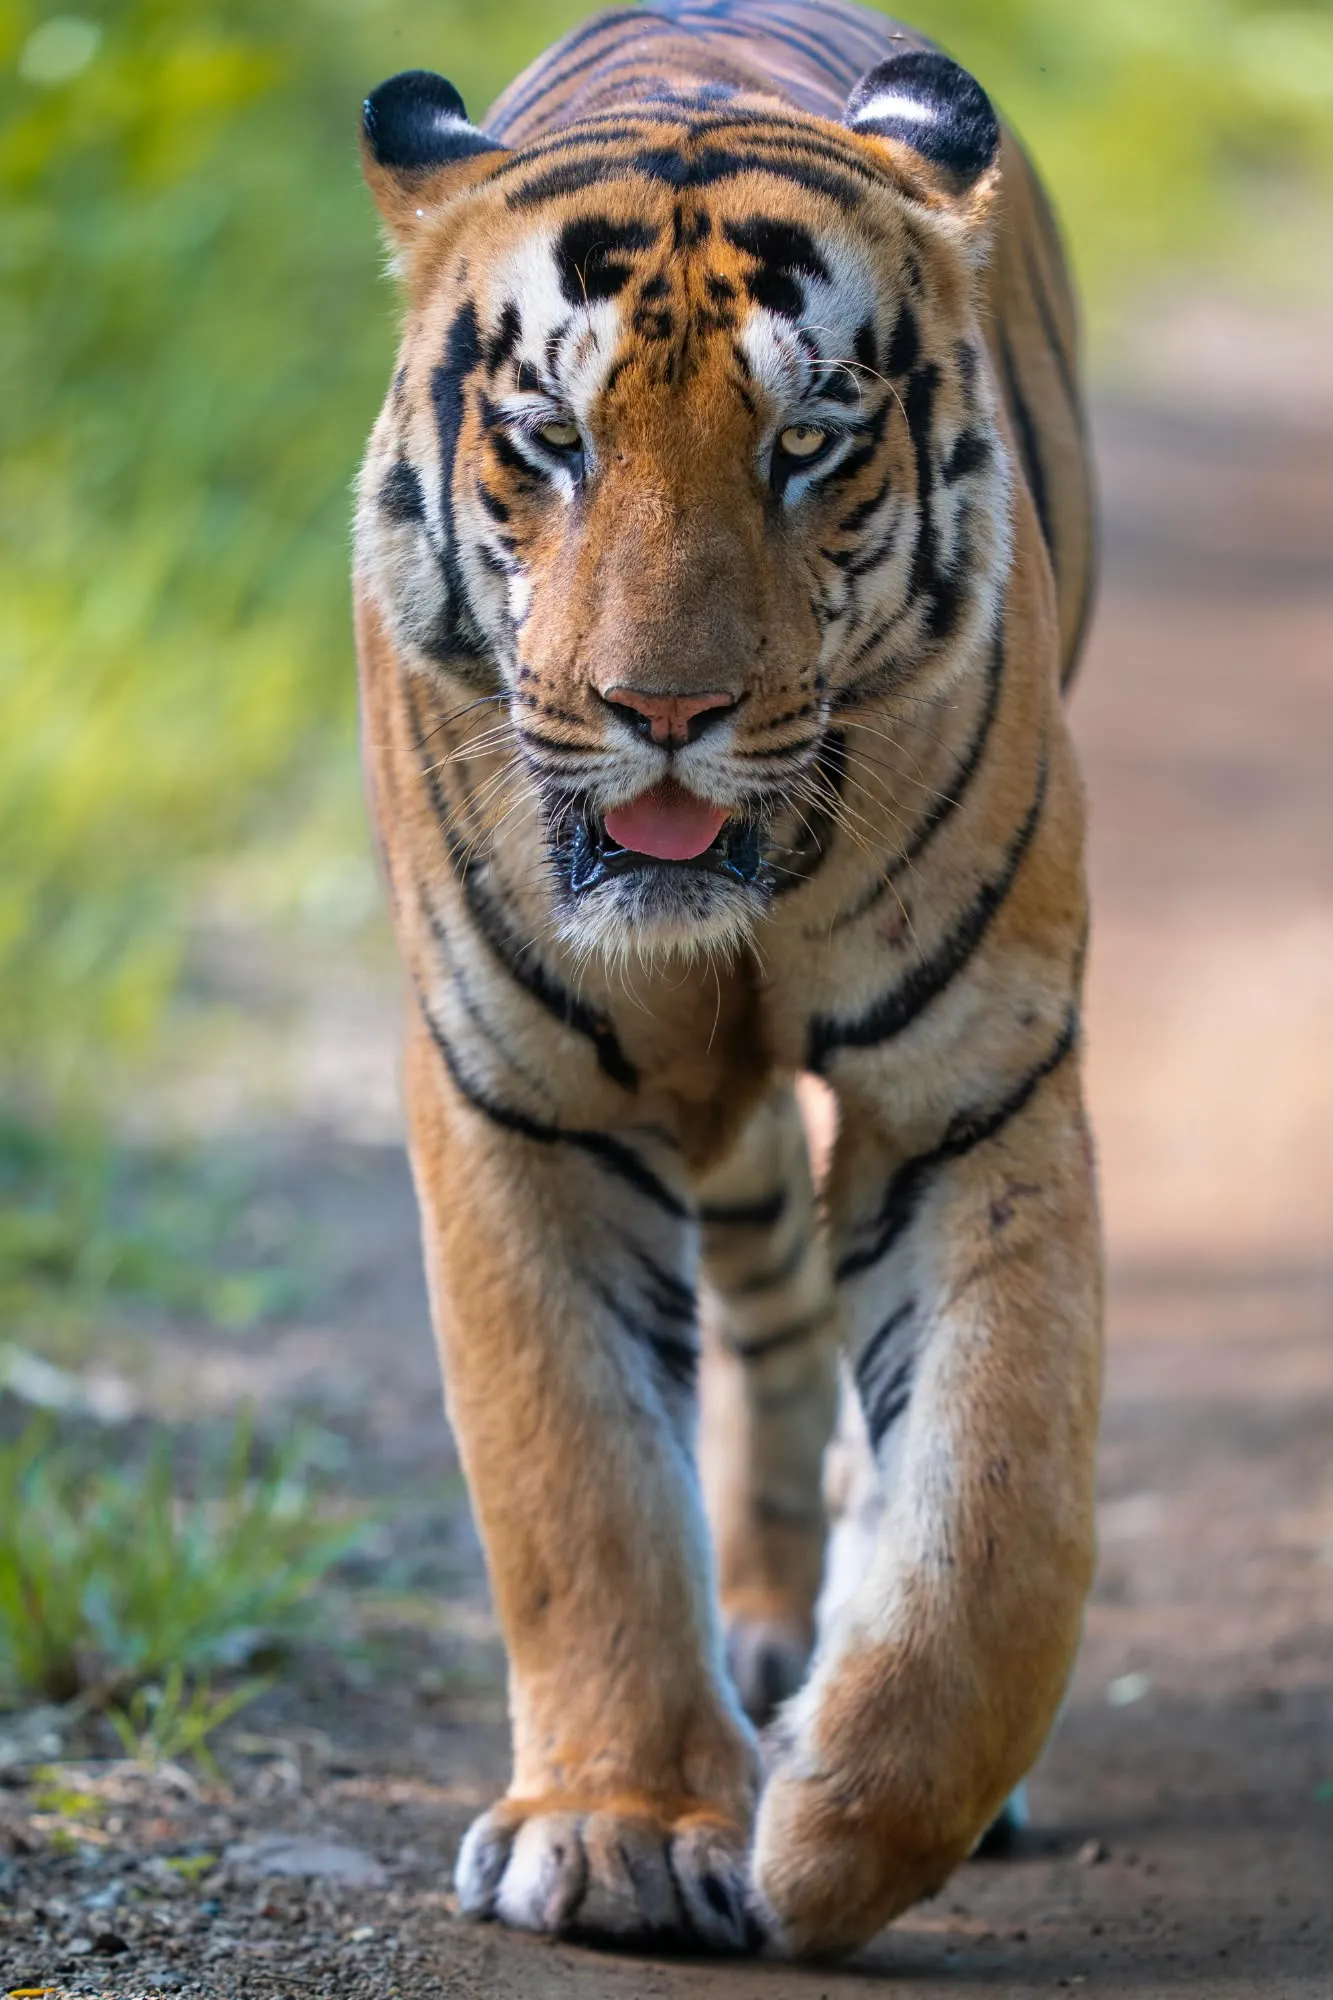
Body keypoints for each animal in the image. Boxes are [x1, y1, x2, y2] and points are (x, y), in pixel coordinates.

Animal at [353, 0, 1100, 1960]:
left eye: (808, 441)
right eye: (548, 436)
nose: (662, 710)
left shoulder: (972, 1088)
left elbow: (998, 1501)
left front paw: (844, 1835)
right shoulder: (516, 1099)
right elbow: (577, 1482)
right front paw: (618, 1835)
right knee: (765, 1307)